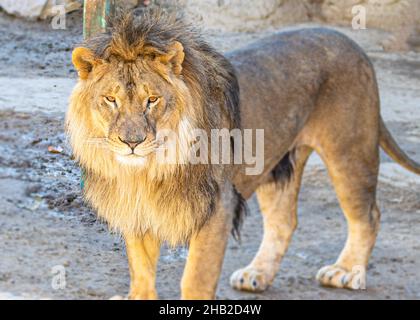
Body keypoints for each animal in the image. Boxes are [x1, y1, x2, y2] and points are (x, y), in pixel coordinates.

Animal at [66, 10, 420, 300]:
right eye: (110, 99)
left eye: (152, 99)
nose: (132, 142)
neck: (147, 169)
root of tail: (352, 43)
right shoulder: (137, 208)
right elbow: (140, 267)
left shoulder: (216, 205)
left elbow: (196, 277)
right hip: (277, 163)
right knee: (283, 221)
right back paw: (257, 274)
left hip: (349, 150)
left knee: (367, 216)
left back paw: (346, 270)